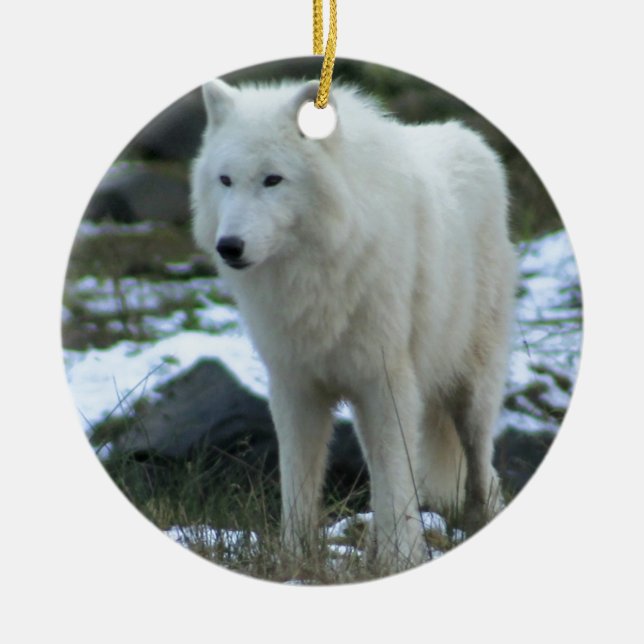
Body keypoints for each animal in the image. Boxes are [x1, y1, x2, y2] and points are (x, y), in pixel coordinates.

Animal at [190, 79, 516, 570]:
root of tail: (471, 140)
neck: (316, 275)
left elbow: (396, 483)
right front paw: (295, 562)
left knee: (482, 470)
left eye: (272, 179)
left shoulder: (386, 384)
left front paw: (401, 560)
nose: (228, 246)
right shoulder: (295, 387)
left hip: (471, 393)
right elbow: (298, 485)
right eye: (225, 180)